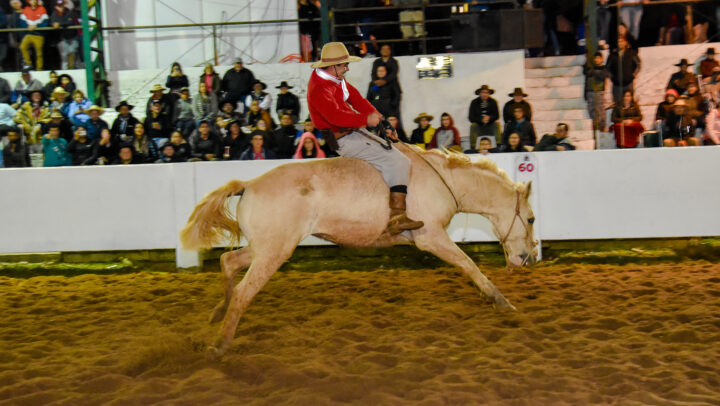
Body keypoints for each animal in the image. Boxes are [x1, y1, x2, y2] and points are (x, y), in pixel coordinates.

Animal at [183, 144, 536, 356]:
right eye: (531, 218)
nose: (527, 258)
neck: (442, 179)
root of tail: (249, 185)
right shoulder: (431, 237)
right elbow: (469, 265)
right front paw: (500, 300)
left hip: (264, 246)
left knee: (228, 261)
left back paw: (217, 315)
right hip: (273, 252)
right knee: (244, 291)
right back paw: (219, 344)